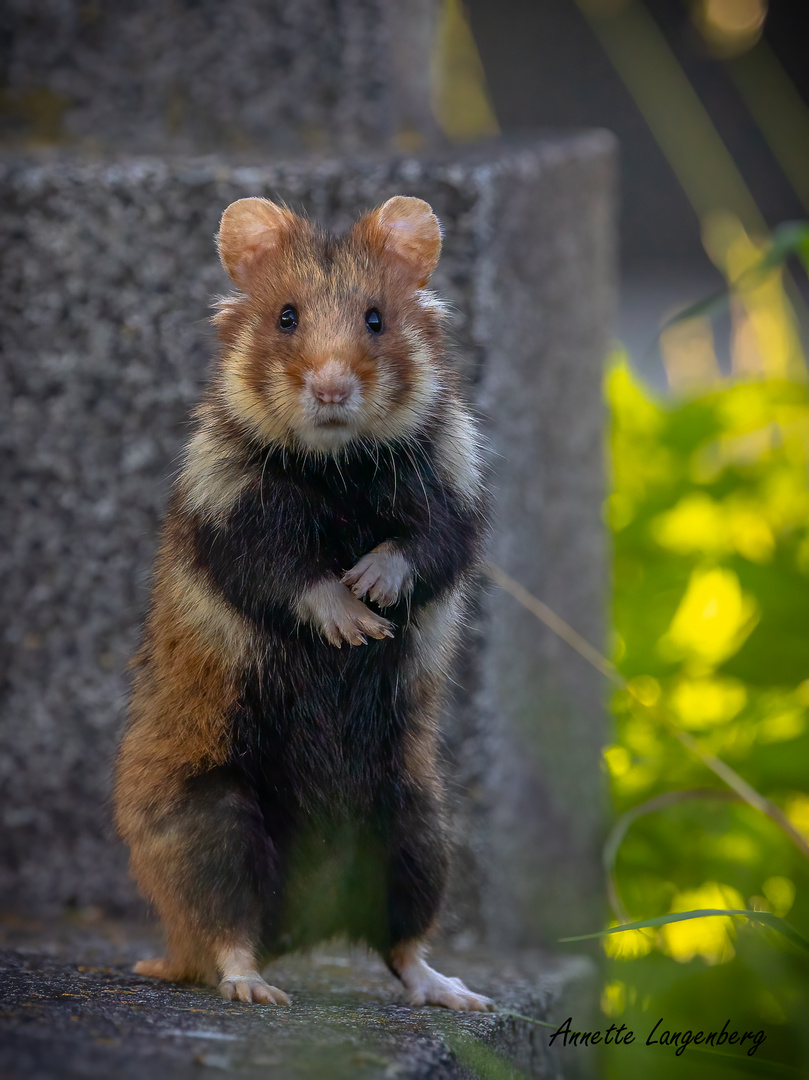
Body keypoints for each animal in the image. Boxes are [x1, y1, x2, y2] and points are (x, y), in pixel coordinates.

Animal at [113, 194, 492, 1010]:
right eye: (286, 317)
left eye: (376, 319)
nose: (329, 389)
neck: (335, 465)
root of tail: (305, 929)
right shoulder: (231, 512)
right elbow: (288, 574)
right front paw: (354, 623)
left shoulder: (453, 495)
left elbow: (421, 547)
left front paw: (372, 590)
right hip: (212, 823)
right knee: (225, 926)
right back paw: (252, 987)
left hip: (416, 823)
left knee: (402, 942)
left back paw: (458, 992)